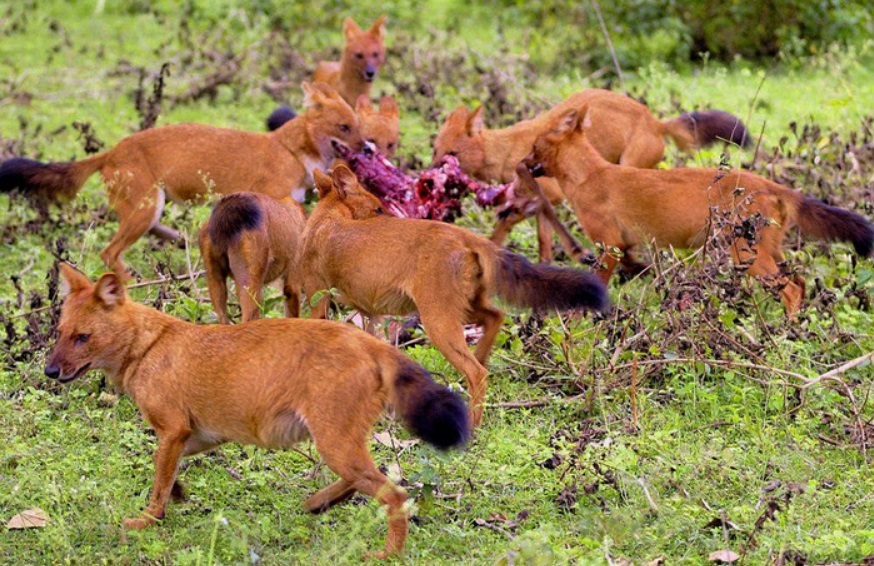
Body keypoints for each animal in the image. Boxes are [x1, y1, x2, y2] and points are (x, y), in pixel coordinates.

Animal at [46, 264, 470, 560]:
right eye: (60, 333)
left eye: (83, 337)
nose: (50, 371)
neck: (147, 347)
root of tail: (368, 341)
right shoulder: (198, 434)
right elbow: (165, 470)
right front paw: (176, 495)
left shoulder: (173, 428)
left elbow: (158, 478)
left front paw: (146, 520)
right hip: (340, 442)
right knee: (371, 477)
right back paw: (318, 503)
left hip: (332, 443)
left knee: (394, 494)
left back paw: (387, 553)